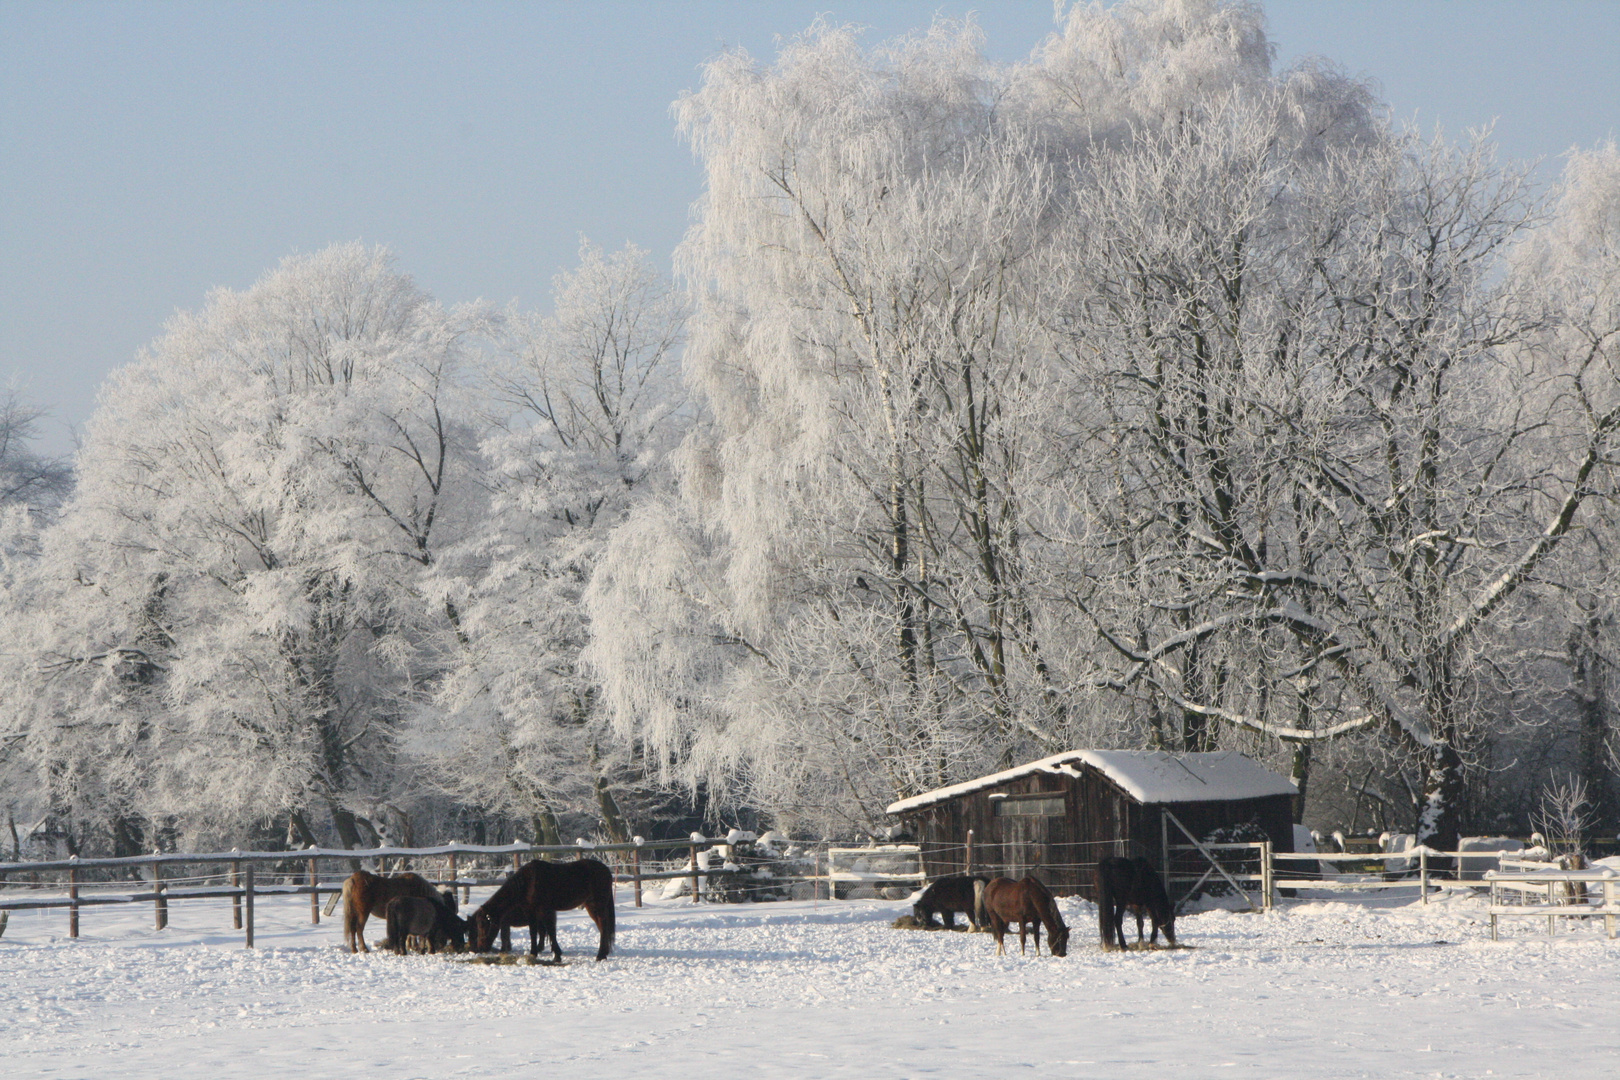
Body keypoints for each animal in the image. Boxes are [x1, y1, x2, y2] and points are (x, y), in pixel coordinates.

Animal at [473, 861, 622, 965]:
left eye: (483, 925)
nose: (481, 948)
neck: (528, 882)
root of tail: (606, 871)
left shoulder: (542, 911)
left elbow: (545, 932)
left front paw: (549, 954)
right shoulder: (535, 912)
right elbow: (540, 932)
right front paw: (545, 954)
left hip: (598, 906)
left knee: (603, 928)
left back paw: (600, 955)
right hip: (591, 906)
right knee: (603, 928)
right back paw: (603, 954)